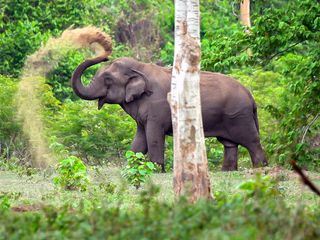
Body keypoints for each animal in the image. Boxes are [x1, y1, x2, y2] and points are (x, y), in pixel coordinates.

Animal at [70, 29, 268, 172]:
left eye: (108, 79)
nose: (105, 55)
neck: (141, 67)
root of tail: (251, 97)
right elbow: (139, 139)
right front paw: (130, 169)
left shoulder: (157, 109)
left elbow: (153, 136)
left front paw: (157, 171)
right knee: (229, 144)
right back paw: (228, 171)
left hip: (239, 115)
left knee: (251, 141)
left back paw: (260, 169)